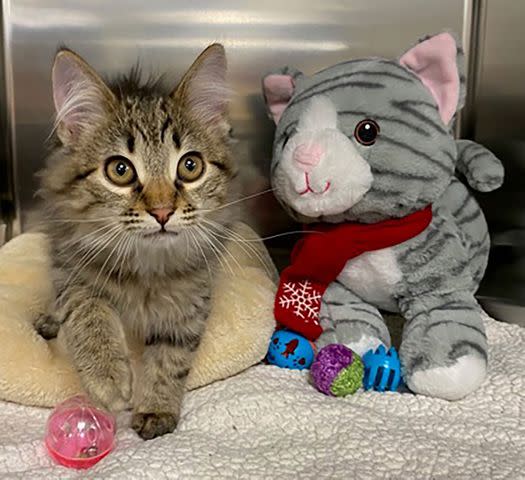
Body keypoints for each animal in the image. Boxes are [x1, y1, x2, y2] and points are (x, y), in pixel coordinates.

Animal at [34, 44, 235, 438]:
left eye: (190, 165)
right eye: (120, 170)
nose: (162, 211)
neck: (146, 268)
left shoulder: (192, 299)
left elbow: (171, 356)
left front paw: (156, 407)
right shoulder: (69, 266)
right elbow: (87, 308)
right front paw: (107, 376)